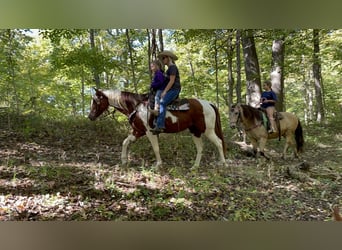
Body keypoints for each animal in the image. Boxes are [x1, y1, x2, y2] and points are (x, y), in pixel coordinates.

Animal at [88, 88, 227, 168]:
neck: (136, 106)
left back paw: (223, 163)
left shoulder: (150, 132)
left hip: (207, 130)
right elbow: (125, 142)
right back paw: (195, 166)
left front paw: (158, 164)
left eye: (96, 101)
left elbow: (155, 148)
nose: (90, 116)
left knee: (219, 142)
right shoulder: (138, 131)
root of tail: (209, 104)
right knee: (200, 148)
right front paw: (124, 161)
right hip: (195, 131)